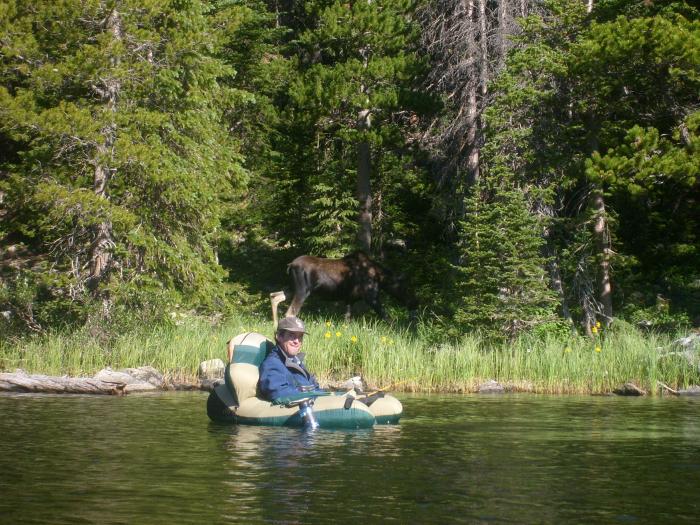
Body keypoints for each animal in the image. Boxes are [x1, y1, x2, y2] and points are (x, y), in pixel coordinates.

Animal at [272, 251, 416, 322]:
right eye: (404, 287)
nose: (414, 303)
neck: (380, 279)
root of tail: (290, 265)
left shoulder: (349, 299)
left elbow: (347, 320)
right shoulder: (372, 297)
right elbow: (388, 318)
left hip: (292, 288)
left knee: (274, 296)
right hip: (302, 291)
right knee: (290, 312)